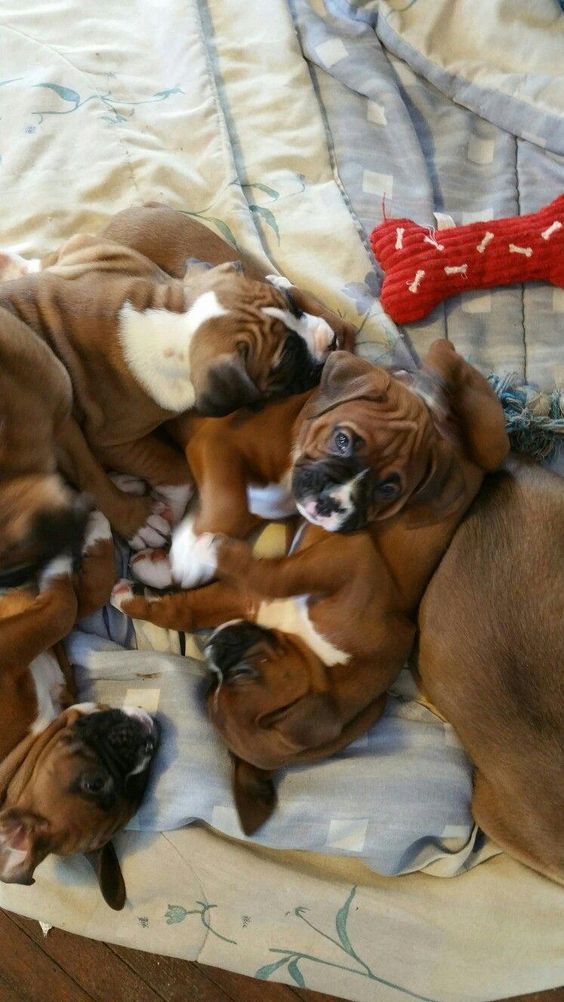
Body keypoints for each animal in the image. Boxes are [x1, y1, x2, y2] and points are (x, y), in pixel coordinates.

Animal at [0, 203, 354, 549]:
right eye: (286, 363)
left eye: (292, 306)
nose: (330, 342)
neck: (176, 325)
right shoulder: (112, 440)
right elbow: (173, 468)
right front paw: (166, 508)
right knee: (89, 477)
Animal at [112, 342, 508, 829]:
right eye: (343, 440)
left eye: (221, 684)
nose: (330, 505)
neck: (316, 657)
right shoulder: (226, 453)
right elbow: (230, 503)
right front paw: (189, 553)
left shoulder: (251, 595)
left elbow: (201, 596)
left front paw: (155, 577)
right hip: (487, 439)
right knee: (452, 374)